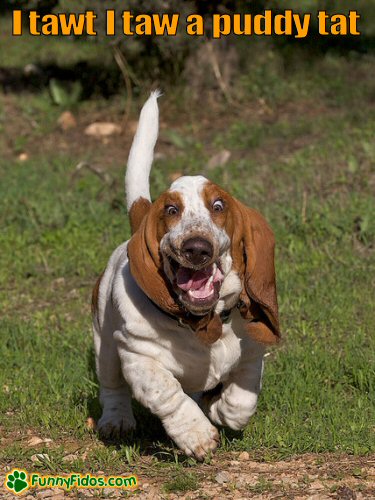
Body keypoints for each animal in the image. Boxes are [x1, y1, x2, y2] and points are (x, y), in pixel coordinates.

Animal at [92, 91, 280, 460]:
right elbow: (168, 393)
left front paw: (220, 410)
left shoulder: (252, 353)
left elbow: (242, 399)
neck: (206, 322)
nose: (197, 248)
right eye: (171, 210)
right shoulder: (138, 356)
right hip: (104, 342)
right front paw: (197, 435)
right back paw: (116, 421)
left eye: (219, 206)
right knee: (112, 387)